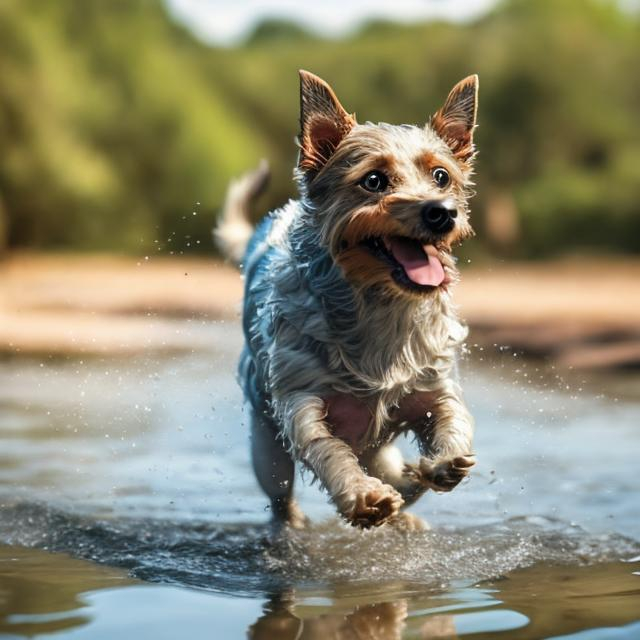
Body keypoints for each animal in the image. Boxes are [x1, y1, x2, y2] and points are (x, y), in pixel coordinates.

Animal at [218, 69, 478, 528]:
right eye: (373, 180)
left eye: (441, 176)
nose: (442, 212)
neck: (380, 305)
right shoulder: (301, 399)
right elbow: (325, 446)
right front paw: (362, 495)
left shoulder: (433, 385)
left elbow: (454, 417)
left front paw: (444, 462)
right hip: (266, 445)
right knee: (280, 493)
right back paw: (292, 527)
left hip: (378, 449)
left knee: (399, 479)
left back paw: (408, 500)